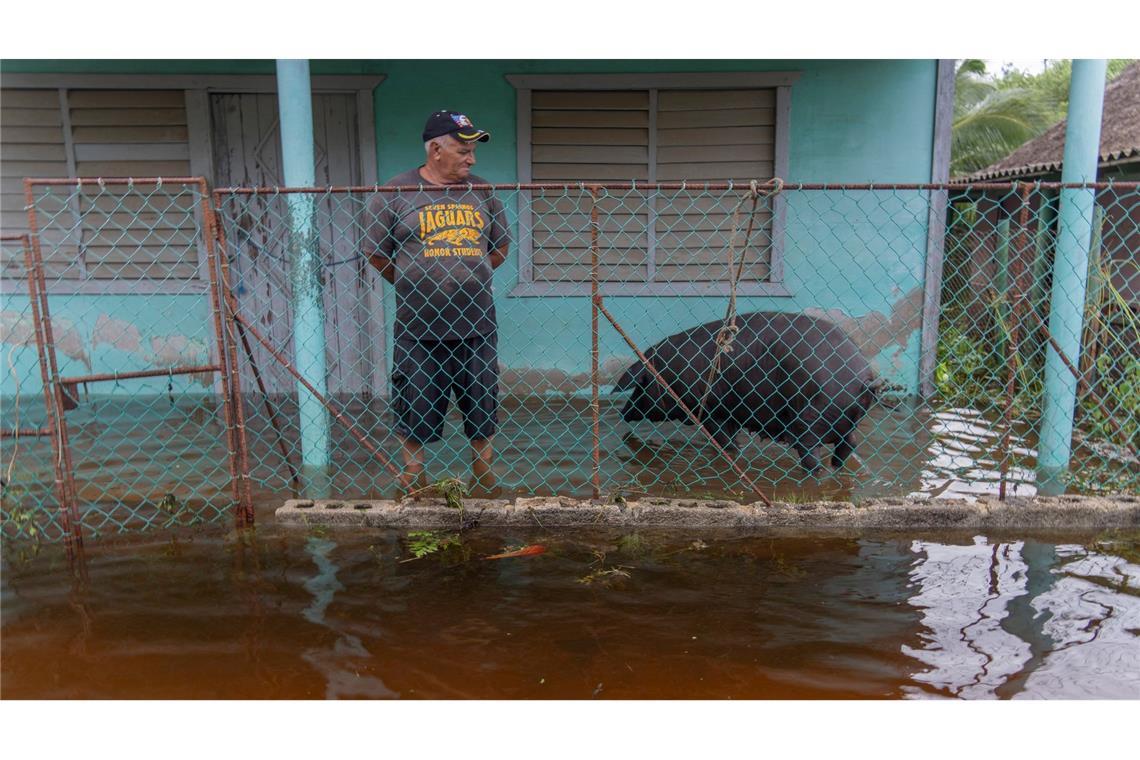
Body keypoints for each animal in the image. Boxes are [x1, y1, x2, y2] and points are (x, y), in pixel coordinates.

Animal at [615, 312, 880, 471]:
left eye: (640, 385)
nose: (622, 413)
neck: (668, 376)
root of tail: (863, 378)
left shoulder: (712, 412)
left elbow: (725, 442)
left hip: (810, 420)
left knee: (813, 457)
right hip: (843, 423)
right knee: (849, 444)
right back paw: (836, 469)